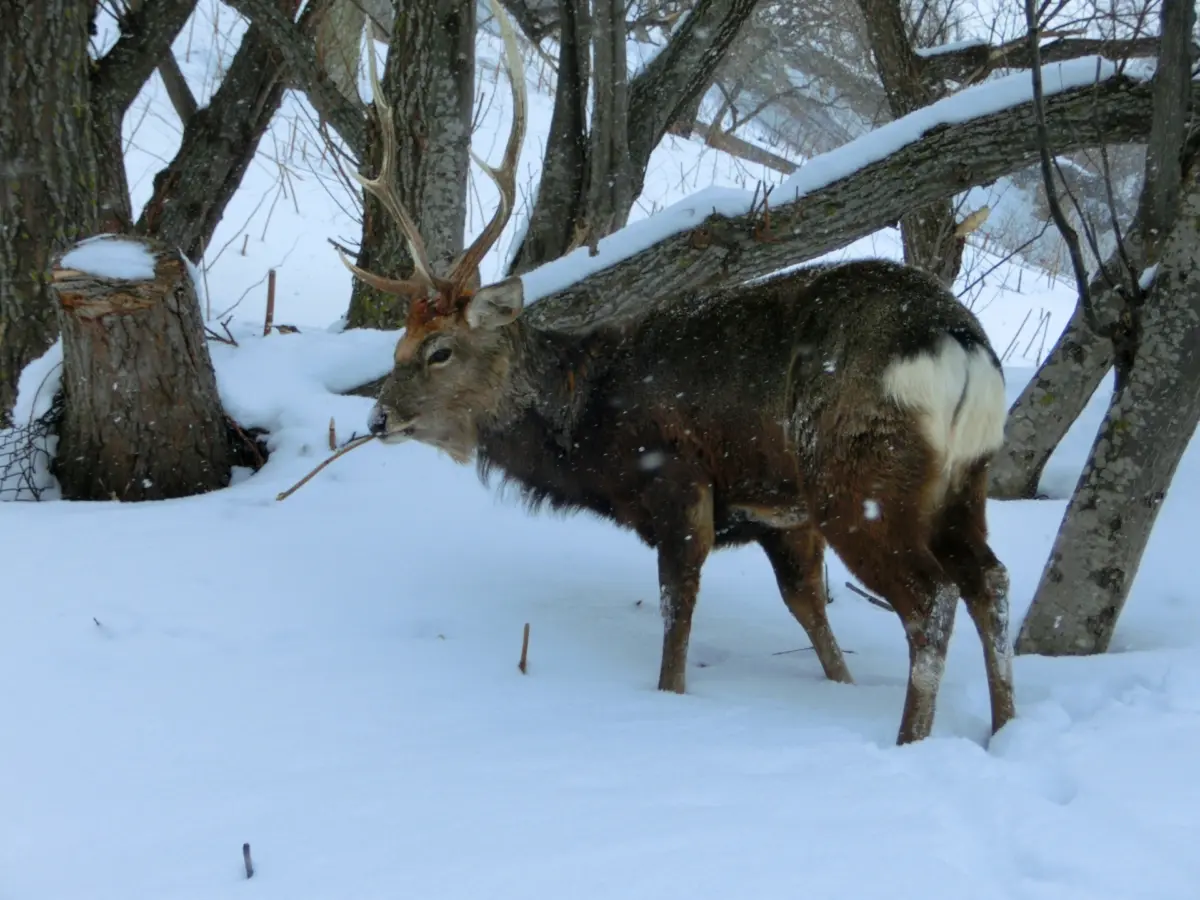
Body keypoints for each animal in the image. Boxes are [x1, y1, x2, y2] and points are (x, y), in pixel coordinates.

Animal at [345, 0, 1012, 748]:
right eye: (398, 344)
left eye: (439, 351)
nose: (376, 416)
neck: (585, 422)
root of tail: (959, 344)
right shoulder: (780, 515)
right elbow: (808, 609)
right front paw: (839, 682)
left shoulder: (677, 479)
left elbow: (678, 613)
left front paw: (669, 700)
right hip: (963, 480)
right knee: (990, 581)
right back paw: (1006, 729)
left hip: (859, 479)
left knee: (932, 599)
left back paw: (910, 739)